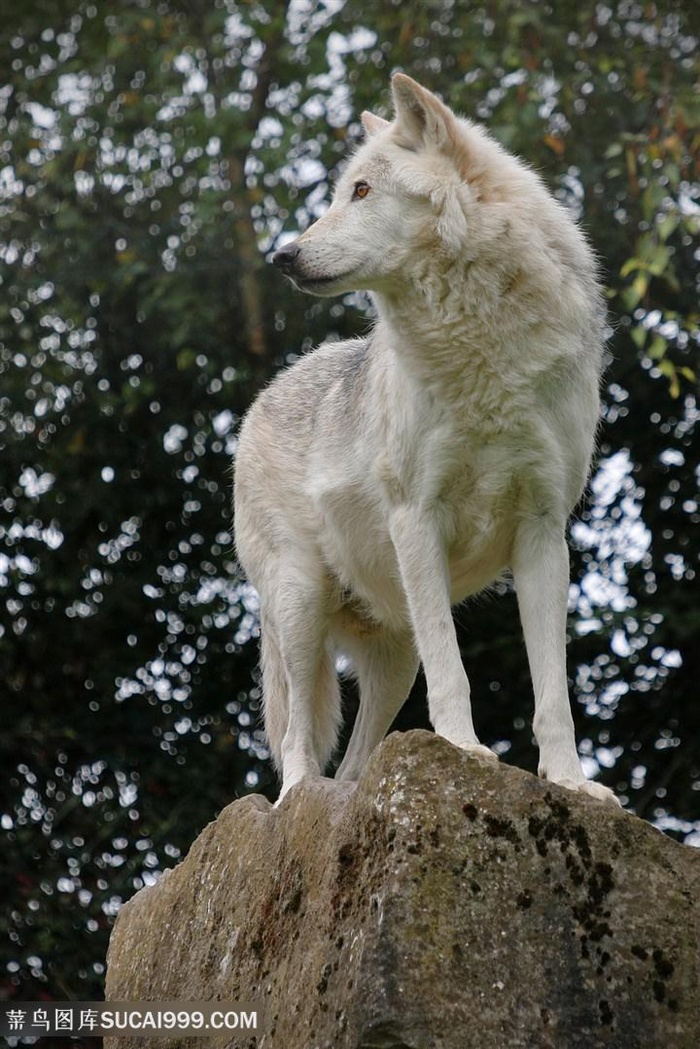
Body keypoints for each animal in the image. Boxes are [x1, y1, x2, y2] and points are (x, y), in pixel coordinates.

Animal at [235, 73, 617, 805]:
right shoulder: (417, 516)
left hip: (394, 650)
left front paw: (572, 783)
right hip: (300, 604)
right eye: (340, 190)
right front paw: (465, 751)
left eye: (361, 191)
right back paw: (297, 800)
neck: (483, 356)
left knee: (357, 762)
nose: (281, 255)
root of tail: (266, 392)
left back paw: (342, 800)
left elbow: (553, 691)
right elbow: (455, 670)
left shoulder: (544, 531)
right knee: (298, 734)